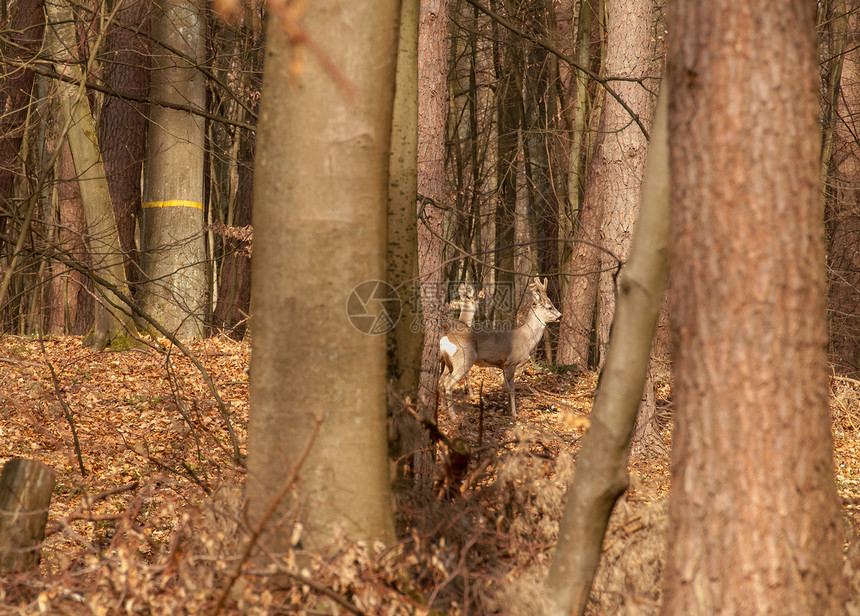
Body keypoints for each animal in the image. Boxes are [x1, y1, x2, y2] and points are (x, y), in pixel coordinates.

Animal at [440, 278, 560, 418]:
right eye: (549, 307)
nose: (560, 316)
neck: (526, 338)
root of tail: (444, 339)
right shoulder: (511, 363)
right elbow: (511, 389)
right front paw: (514, 414)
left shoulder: (504, 366)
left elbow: (507, 388)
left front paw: (508, 409)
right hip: (463, 359)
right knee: (448, 384)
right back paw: (453, 416)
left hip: (448, 363)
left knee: (441, 381)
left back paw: (442, 409)